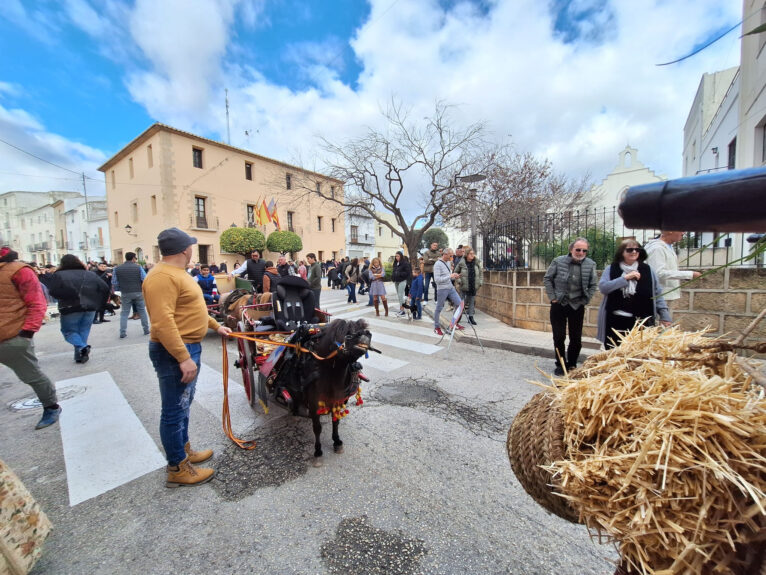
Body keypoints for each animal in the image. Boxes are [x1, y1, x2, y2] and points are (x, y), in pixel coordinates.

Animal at [272, 318, 376, 466]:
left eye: (362, 329)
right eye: (347, 332)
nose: (366, 333)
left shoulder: (339, 399)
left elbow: (336, 421)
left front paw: (337, 442)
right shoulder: (314, 403)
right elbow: (317, 427)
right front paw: (318, 452)